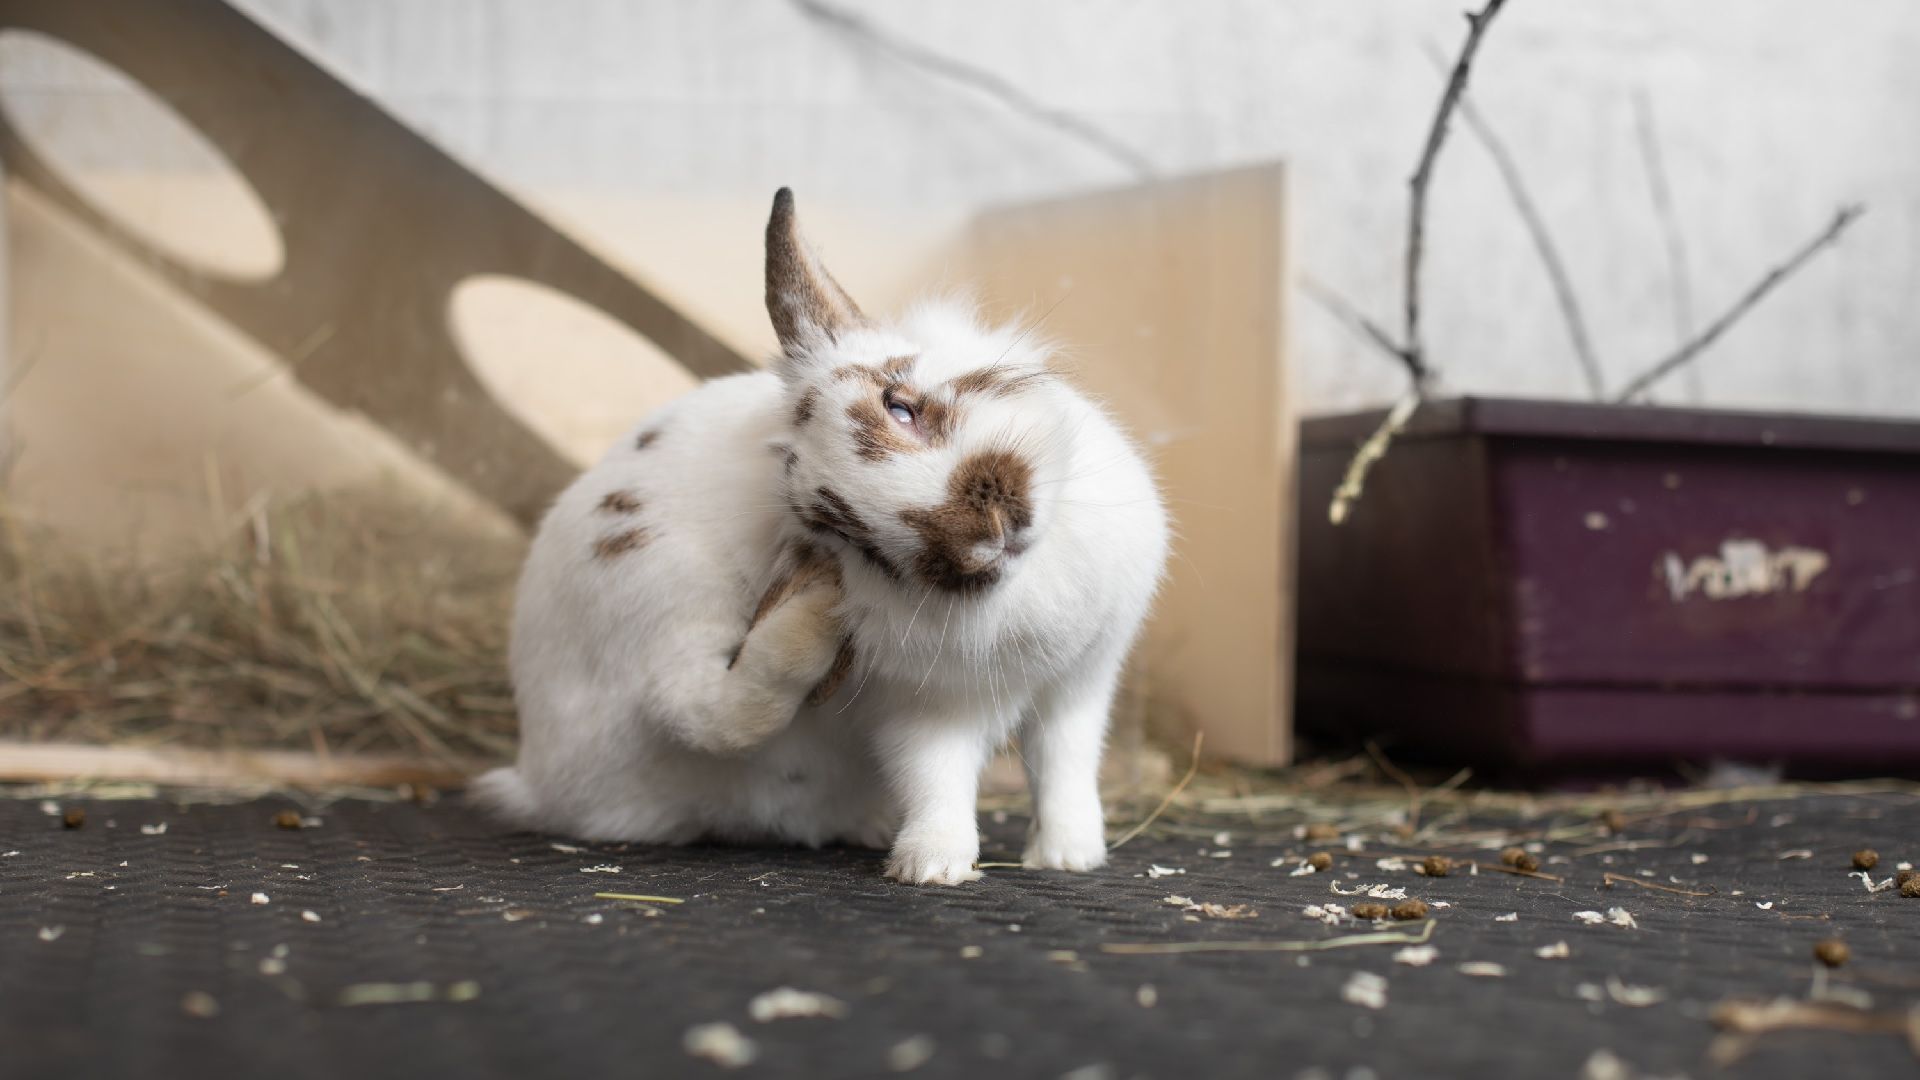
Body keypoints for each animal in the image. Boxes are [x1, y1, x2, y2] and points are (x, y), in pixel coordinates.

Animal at [480, 189, 1167, 880]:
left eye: (900, 406)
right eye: (854, 537)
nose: (984, 538)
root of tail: (537, 775)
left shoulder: (1081, 683)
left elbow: (1063, 764)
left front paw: (1070, 856)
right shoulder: (928, 707)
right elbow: (938, 779)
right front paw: (933, 865)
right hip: (655, 585)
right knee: (701, 708)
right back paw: (809, 623)